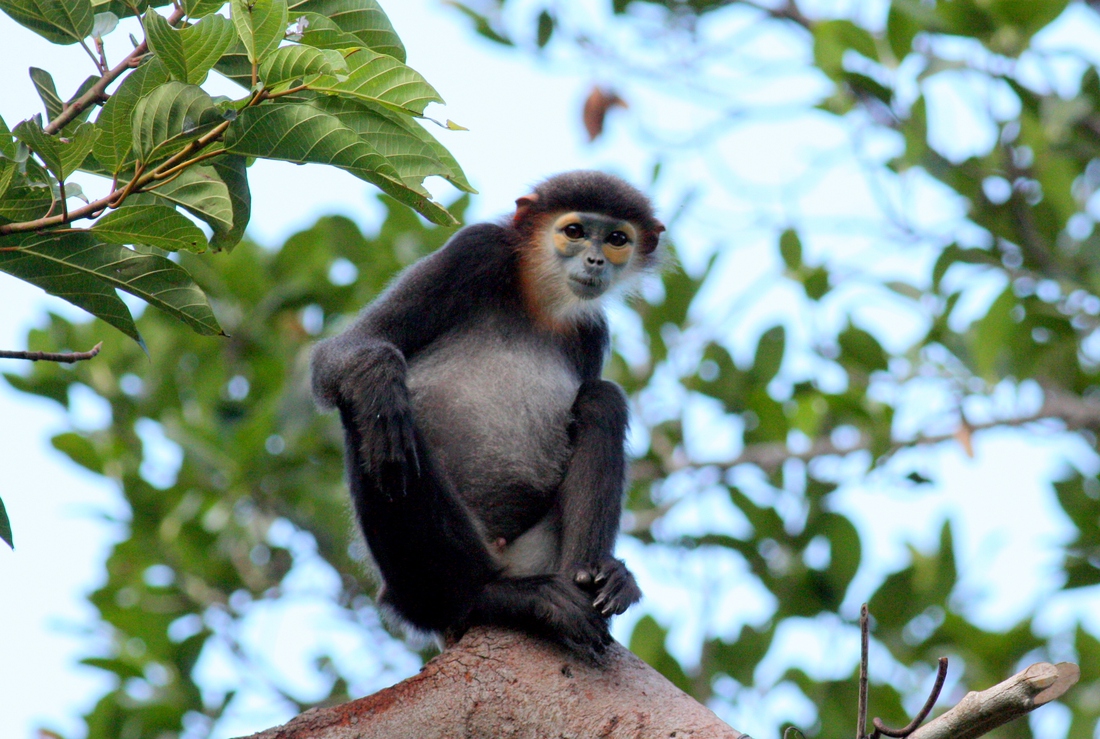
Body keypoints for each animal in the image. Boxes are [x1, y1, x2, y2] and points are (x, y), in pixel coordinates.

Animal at [314, 170, 664, 655]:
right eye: (574, 231)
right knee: (371, 417)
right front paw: (380, 380)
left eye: (617, 239)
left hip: (536, 552)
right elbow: (338, 358)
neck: (538, 299)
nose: (596, 261)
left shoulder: (591, 330)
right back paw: (492, 597)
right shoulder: (474, 250)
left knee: (602, 398)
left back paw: (593, 584)